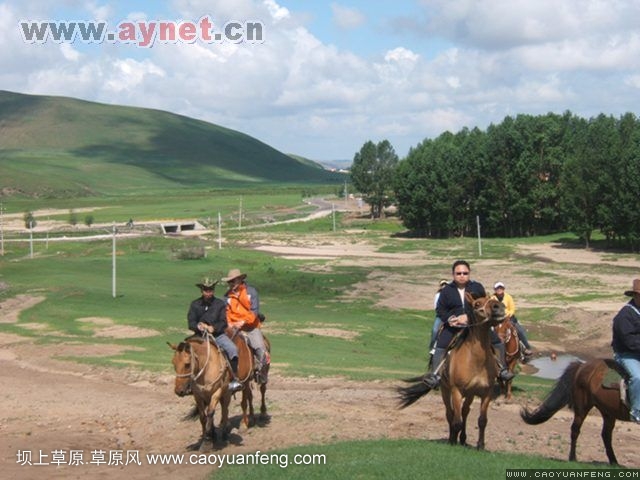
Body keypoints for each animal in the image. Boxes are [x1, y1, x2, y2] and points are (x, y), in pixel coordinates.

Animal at [398, 292, 508, 450]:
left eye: (491, 299)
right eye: (477, 304)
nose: (498, 307)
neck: (476, 360)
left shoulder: (487, 392)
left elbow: (482, 420)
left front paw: (480, 445)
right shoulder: (457, 391)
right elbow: (456, 421)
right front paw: (453, 441)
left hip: (470, 394)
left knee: (465, 411)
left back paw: (462, 439)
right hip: (446, 390)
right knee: (450, 414)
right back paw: (452, 438)